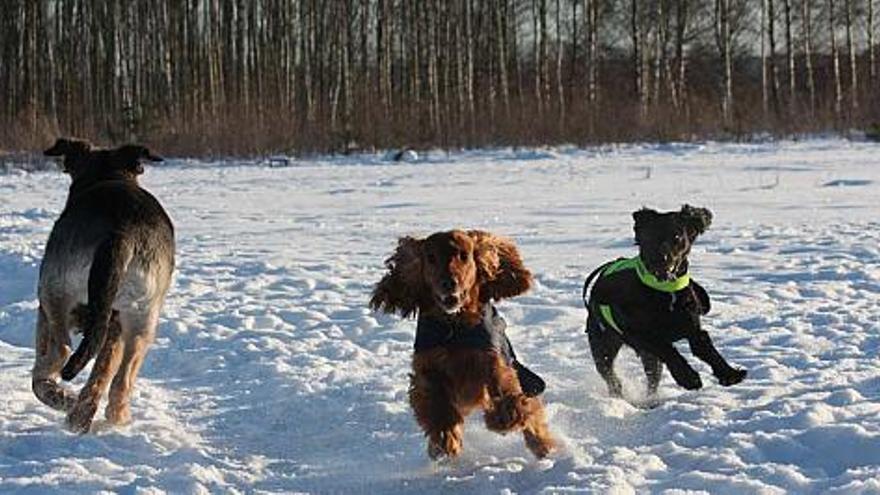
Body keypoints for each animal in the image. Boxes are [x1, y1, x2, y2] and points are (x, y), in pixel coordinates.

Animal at [35, 139, 174, 434]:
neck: (110, 175)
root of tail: (120, 233)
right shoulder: (115, 323)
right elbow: (106, 368)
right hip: (143, 315)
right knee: (121, 380)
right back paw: (97, 417)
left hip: (53, 291)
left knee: (61, 350)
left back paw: (61, 396)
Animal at [580, 205, 744, 404]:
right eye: (649, 236)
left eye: (677, 236)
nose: (661, 258)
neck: (664, 292)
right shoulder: (640, 334)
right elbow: (667, 349)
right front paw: (688, 378)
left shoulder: (692, 328)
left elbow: (706, 348)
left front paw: (729, 374)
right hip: (603, 345)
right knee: (611, 375)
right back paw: (619, 396)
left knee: (652, 378)